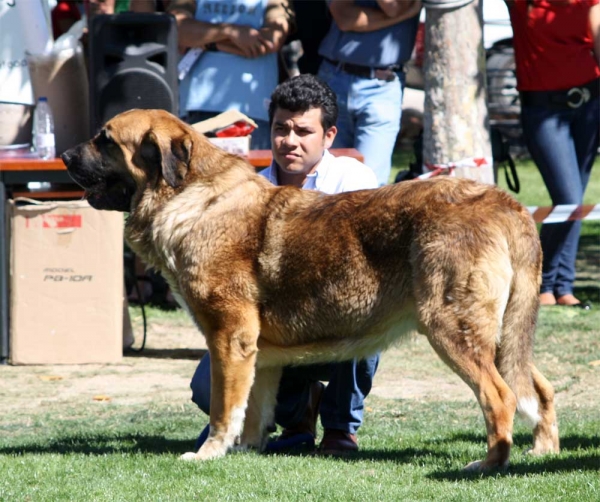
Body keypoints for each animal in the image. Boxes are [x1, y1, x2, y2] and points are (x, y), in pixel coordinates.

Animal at [61, 109, 556, 470]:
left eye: (105, 140)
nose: (64, 155)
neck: (190, 198)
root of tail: (506, 203)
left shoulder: (228, 339)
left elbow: (223, 408)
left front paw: (209, 453)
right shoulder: (256, 353)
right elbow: (253, 409)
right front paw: (246, 449)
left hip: (452, 328)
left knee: (500, 397)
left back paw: (489, 464)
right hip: (502, 336)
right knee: (538, 389)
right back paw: (542, 452)